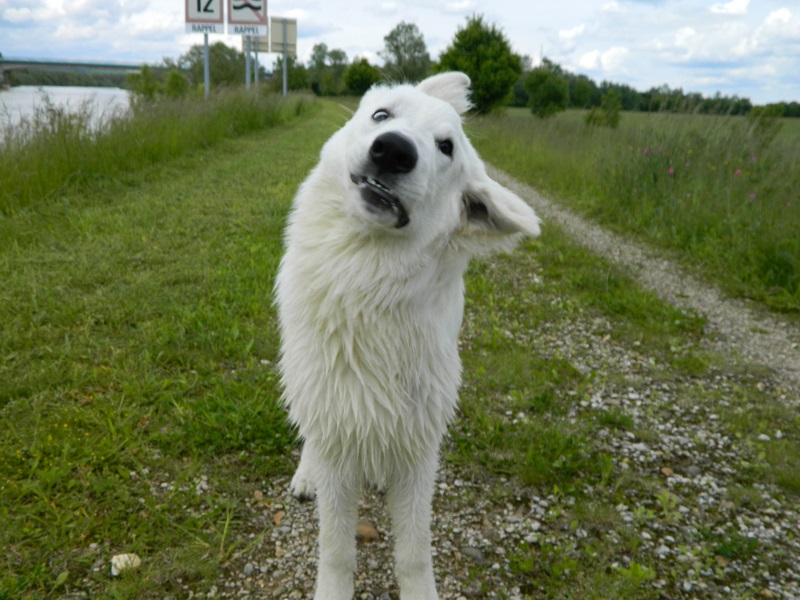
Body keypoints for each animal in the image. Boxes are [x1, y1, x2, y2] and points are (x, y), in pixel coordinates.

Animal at [276, 72, 544, 596]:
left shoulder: (420, 449)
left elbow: (415, 553)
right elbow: (336, 550)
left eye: (446, 147)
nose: (394, 150)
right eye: (382, 115)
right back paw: (306, 473)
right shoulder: (337, 424)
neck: (368, 281)